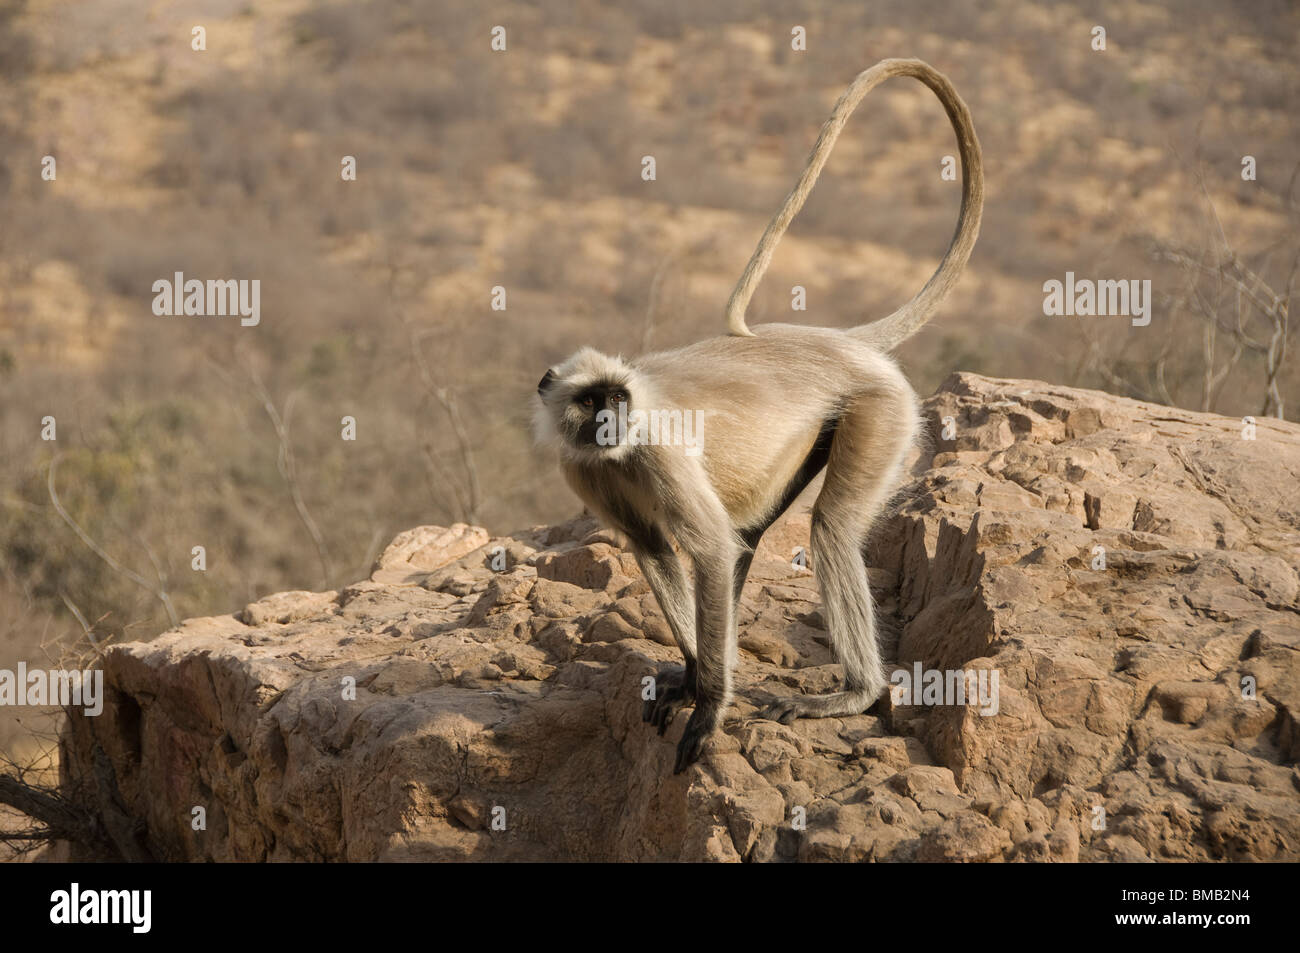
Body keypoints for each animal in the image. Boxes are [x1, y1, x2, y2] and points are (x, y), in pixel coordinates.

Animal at [533, 57, 977, 774]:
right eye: (590, 401)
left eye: (618, 399)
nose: (610, 422)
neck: (620, 448)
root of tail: (836, 341)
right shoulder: (583, 468)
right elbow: (655, 548)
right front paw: (692, 676)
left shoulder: (656, 445)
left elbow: (709, 548)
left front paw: (711, 702)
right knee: (752, 538)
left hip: (881, 407)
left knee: (828, 529)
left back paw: (856, 694)